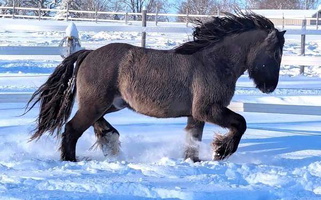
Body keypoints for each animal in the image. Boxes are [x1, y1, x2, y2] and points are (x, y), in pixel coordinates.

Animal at [25, 12, 284, 162]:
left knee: (93, 123)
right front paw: (221, 150)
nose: (269, 87)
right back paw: (73, 160)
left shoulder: (196, 114)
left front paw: (195, 160)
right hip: (96, 103)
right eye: (276, 53)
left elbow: (193, 141)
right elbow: (241, 123)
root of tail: (88, 53)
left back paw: (111, 140)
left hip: (111, 104)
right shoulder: (208, 109)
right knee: (71, 129)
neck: (213, 62)